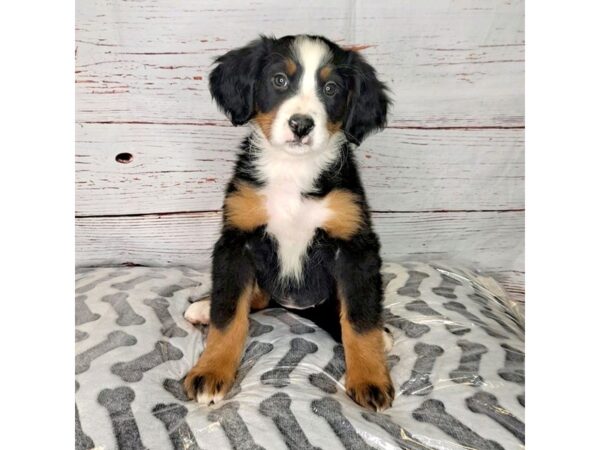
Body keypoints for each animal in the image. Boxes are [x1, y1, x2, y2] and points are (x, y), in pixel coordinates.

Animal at [183, 33, 394, 410]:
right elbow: (229, 314)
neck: (293, 171)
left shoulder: (355, 247)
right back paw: (204, 308)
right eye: (279, 80)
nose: (301, 125)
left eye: (331, 88)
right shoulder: (237, 241)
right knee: (252, 297)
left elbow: (360, 318)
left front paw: (370, 377)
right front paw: (211, 371)